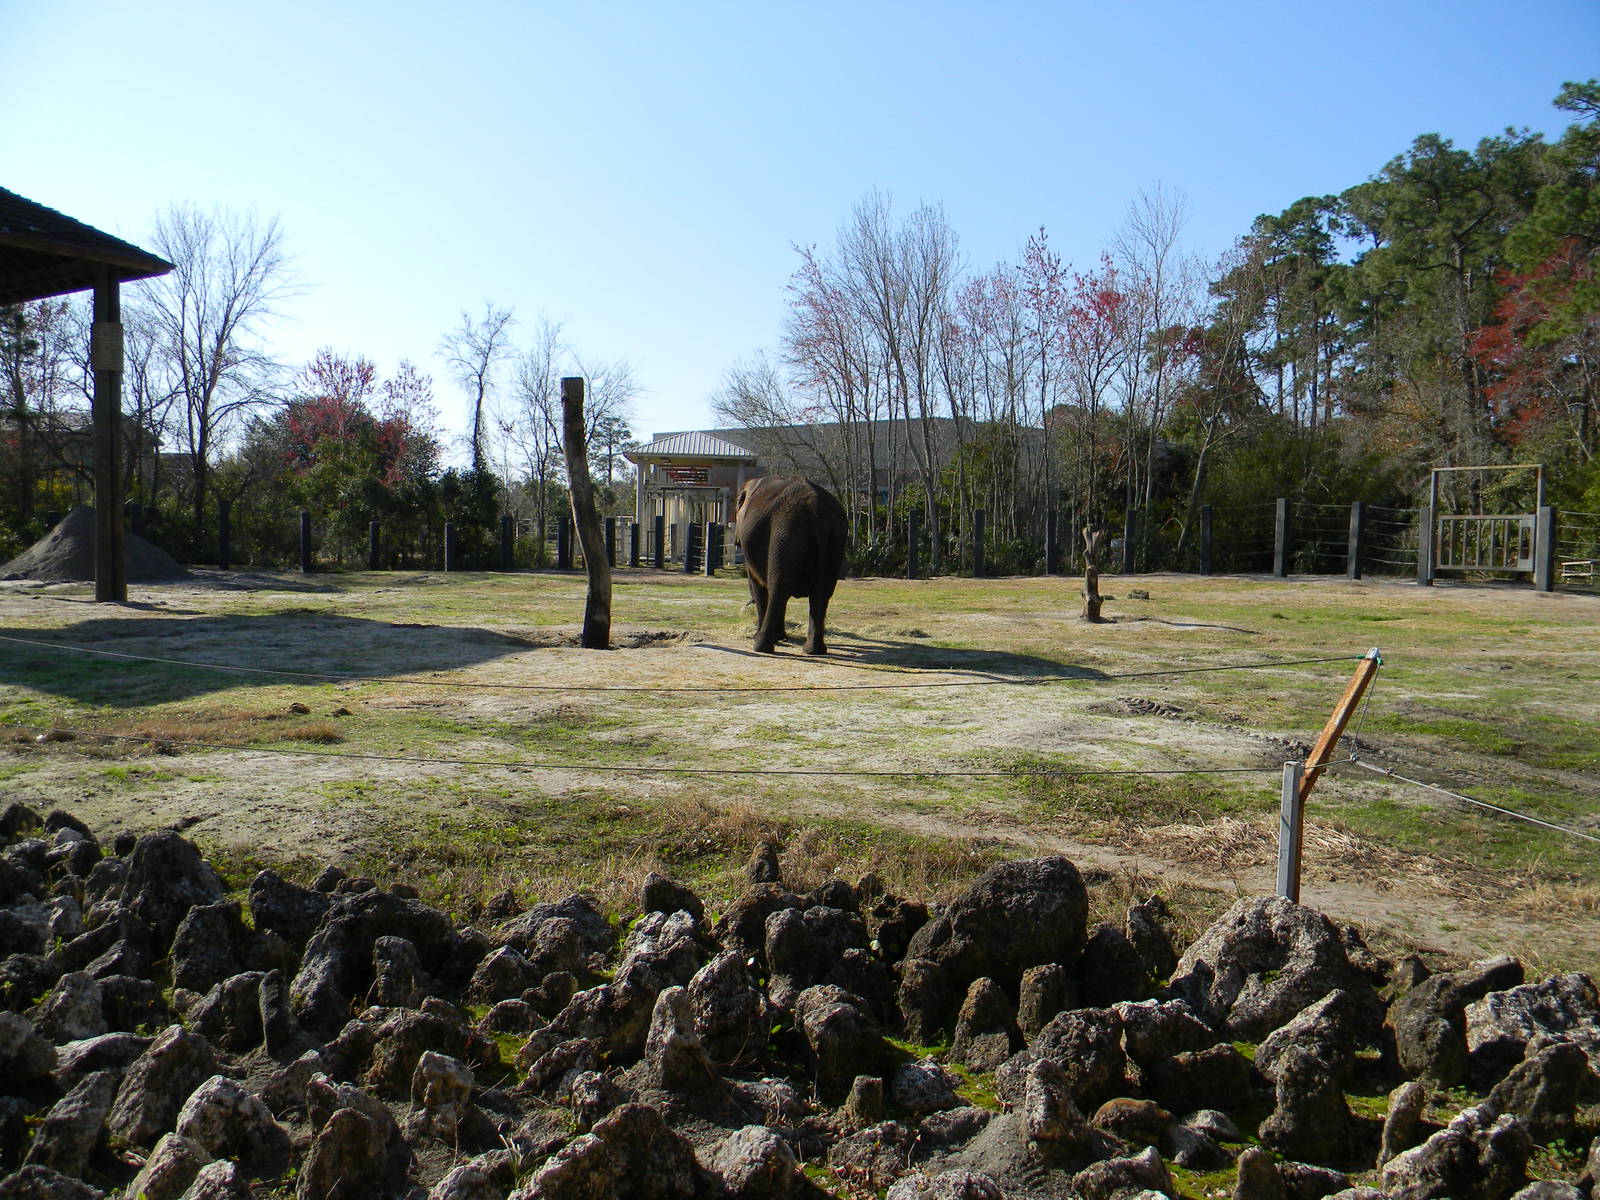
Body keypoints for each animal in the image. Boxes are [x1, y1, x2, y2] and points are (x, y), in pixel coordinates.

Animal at [732, 476, 848, 655]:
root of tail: (817, 513)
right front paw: (782, 638)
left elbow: (757, 584)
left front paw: (768, 638)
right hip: (834, 541)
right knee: (821, 594)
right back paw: (813, 650)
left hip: (785, 535)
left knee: (778, 590)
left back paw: (761, 646)